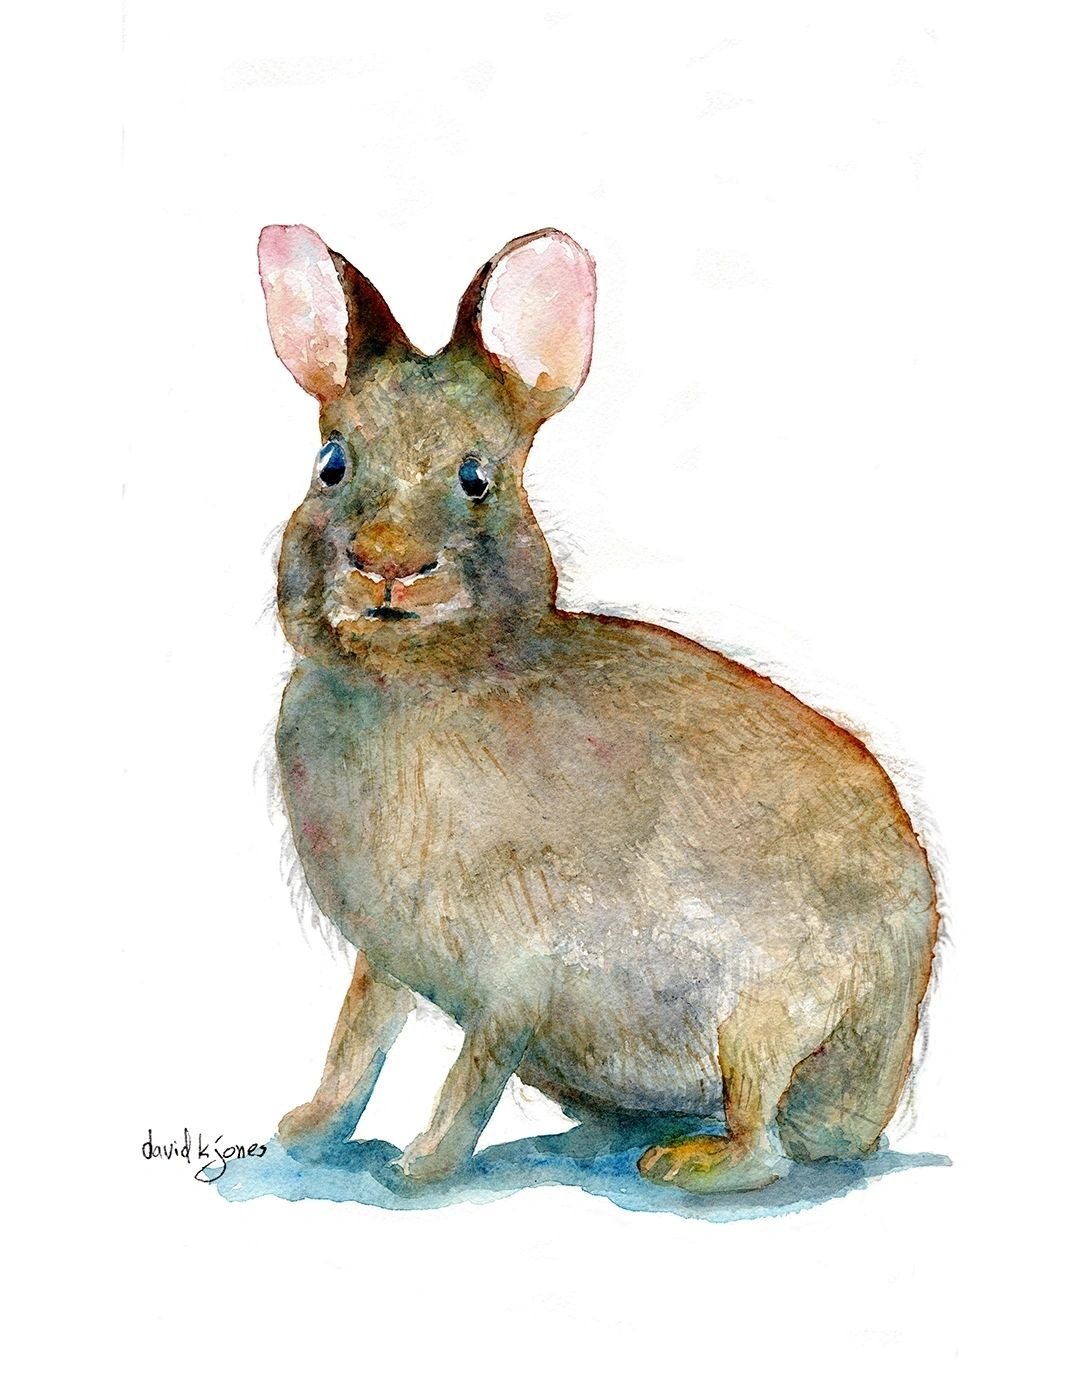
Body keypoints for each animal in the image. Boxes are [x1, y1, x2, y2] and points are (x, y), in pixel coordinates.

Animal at [258, 223, 939, 1193]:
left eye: (477, 477)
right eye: (331, 464)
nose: (388, 563)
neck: (416, 682)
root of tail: (872, 1099)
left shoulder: (518, 966)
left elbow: (473, 1068)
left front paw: (423, 1168)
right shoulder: (384, 958)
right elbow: (357, 1041)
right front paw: (308, 1130)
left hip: (761, 1019)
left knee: (765, 1146)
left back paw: (685, 1164)